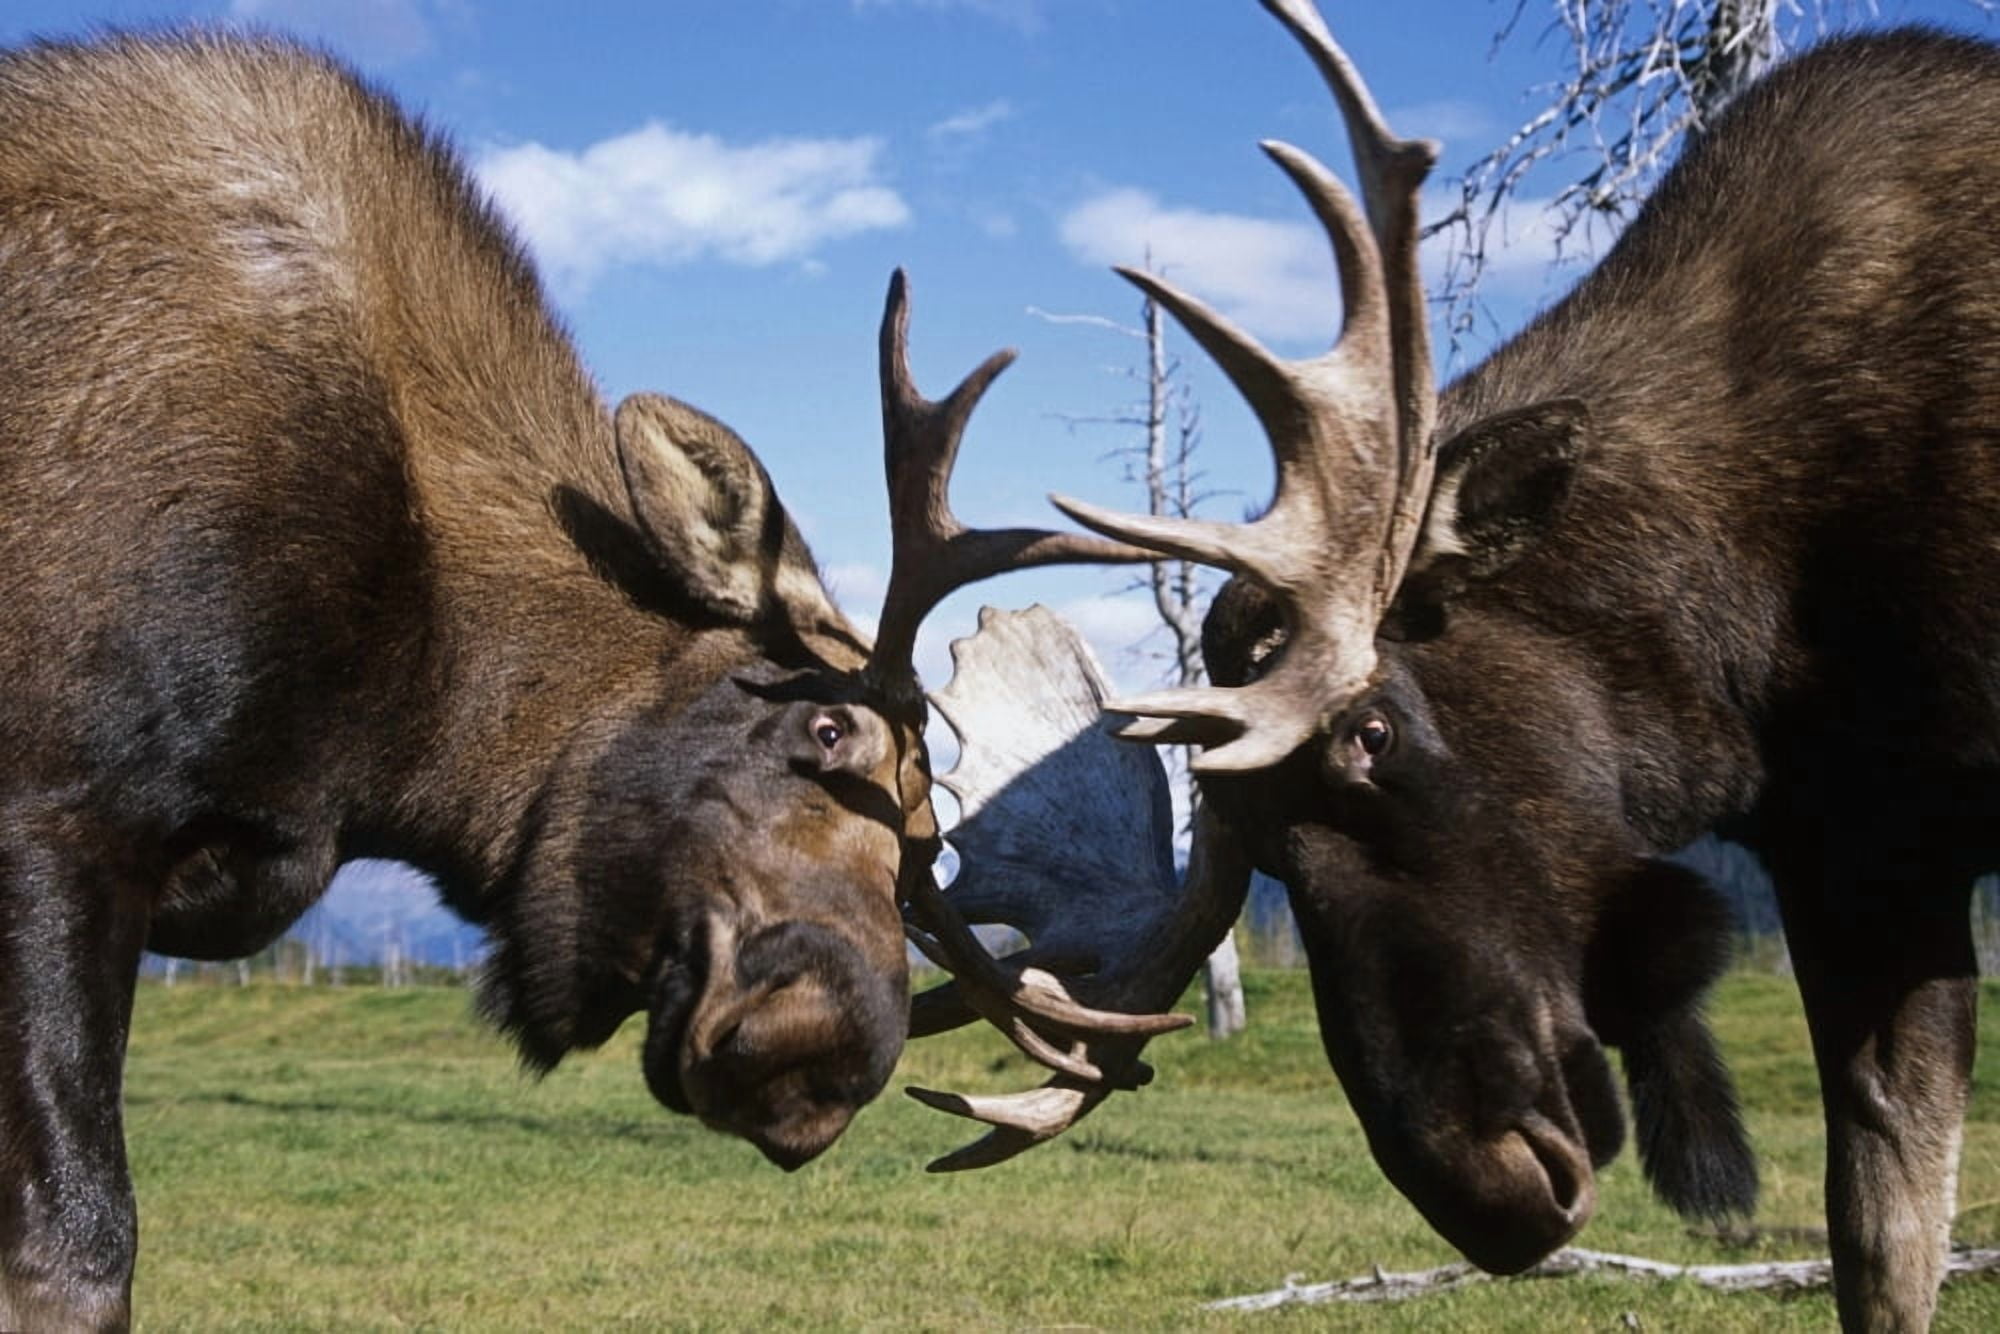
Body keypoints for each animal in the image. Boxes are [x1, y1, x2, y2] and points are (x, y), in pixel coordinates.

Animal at [0, 30, 1186, 1331]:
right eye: (827, 726)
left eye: (925, 844)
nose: (825, 1060)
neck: (396, 717)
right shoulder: (55, 813)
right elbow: (76, 1250)